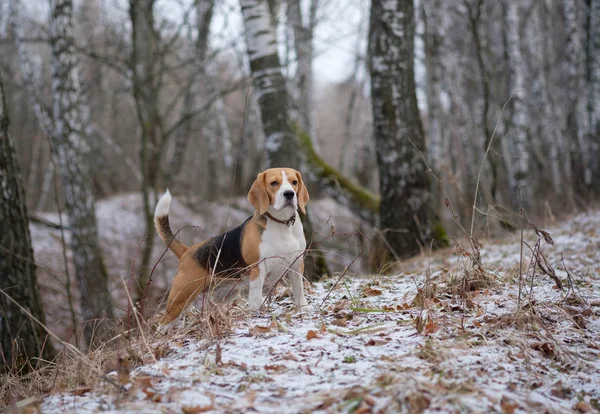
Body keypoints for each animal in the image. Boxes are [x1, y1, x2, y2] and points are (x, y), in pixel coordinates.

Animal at [155, 167, 310, 326]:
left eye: (294, 182)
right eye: (274, 183)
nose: (289, 194)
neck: (283, 224)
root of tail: (187, 251)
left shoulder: (296, 265)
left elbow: (299, 291)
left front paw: (303, 309)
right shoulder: (258, 269)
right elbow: (255, 299)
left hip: (224, 295)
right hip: (180, 298)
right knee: (162, 323)